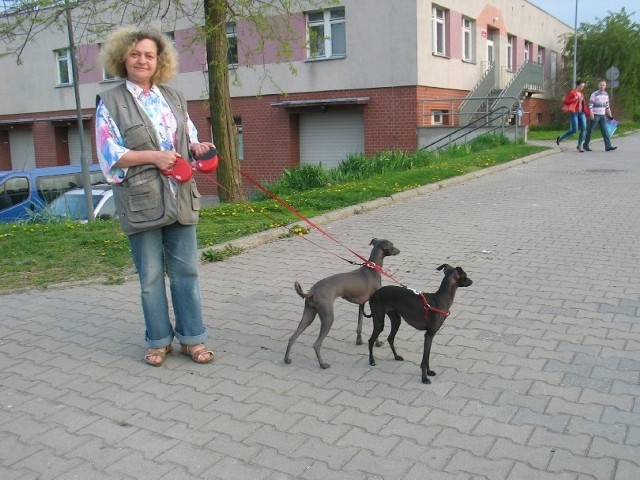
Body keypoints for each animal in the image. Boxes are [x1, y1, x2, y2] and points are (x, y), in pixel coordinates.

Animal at [284, 238, 400, 370]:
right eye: (392, 245)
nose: (399, 250)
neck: (372, 269)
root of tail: (312, 291)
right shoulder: (375, 307)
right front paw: (378, 342)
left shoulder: (361, 304)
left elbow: (359, 325)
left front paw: (359, 341)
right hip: (328, 317)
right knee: (316, 344)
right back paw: (323, 364)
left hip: (308, 314)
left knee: (292, 337)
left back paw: (287, 359)